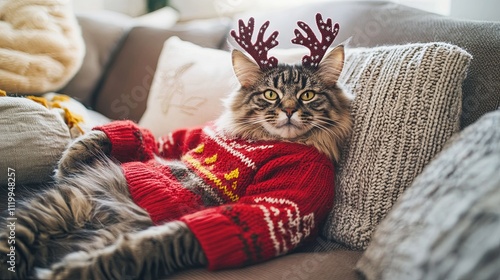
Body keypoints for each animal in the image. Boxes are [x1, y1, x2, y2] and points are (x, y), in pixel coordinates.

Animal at [0, 44, 352, 278]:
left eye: (307, 95)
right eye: (270, 95)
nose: (289, 110)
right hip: (54, 208)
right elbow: (151, 139)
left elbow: (157, 244)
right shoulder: (192, 137)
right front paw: (70, 157)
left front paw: (78, 270)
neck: (258, 138)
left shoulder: (275, 204)